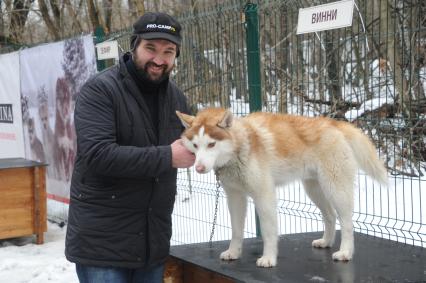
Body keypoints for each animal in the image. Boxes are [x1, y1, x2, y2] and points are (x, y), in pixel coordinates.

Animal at [175, 108, 388, 268]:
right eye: (195, 145)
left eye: (211, 144)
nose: (199, 168)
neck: (241, 146)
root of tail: (333, 123)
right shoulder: (235, 197)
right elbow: (236, 230)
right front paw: (233, 252)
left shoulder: (264, 195)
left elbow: (269, 232)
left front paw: (268, 259)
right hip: (314, 189)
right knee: (330, 216)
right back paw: (325, 242)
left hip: (336, 190)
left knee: (347, 222)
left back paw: (345, 252)